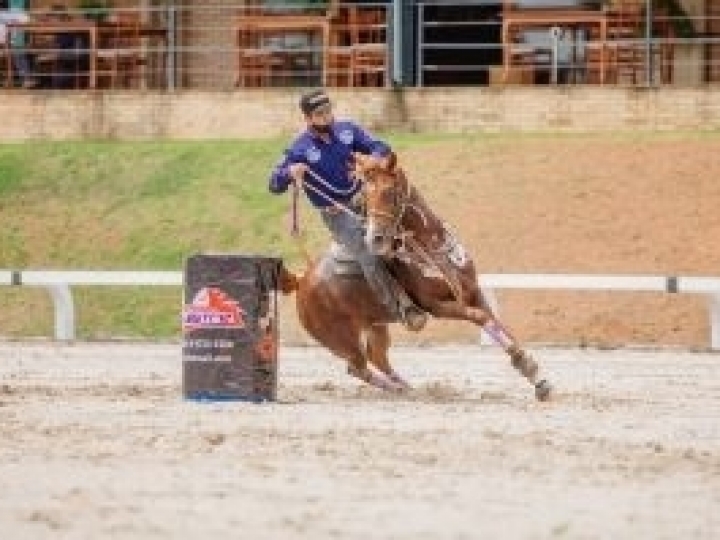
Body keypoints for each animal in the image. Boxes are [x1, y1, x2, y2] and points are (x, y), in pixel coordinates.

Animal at [278, 152, 552, 401]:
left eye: (390, 192)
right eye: (365, 195)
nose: (375, 239)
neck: (431, 247)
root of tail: (301, 280)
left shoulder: (472, 291)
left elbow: (495, 321)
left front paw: (536, 377)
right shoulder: (437, 307)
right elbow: (481, 317)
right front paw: (526, 364)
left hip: (376, 326)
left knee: (377, 358)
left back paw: (407, 387)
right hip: (340, 339)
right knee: (356, 367)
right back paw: (401, 389)